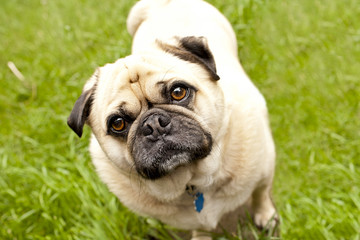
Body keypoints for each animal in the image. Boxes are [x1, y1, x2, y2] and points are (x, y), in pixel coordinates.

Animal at [68, 0, 278, 237]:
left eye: (178, 92)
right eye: (118, 124)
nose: (153, 124)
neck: (192, 181)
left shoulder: (265, 167)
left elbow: (261, 193)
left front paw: (267, 216)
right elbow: (200, 228)